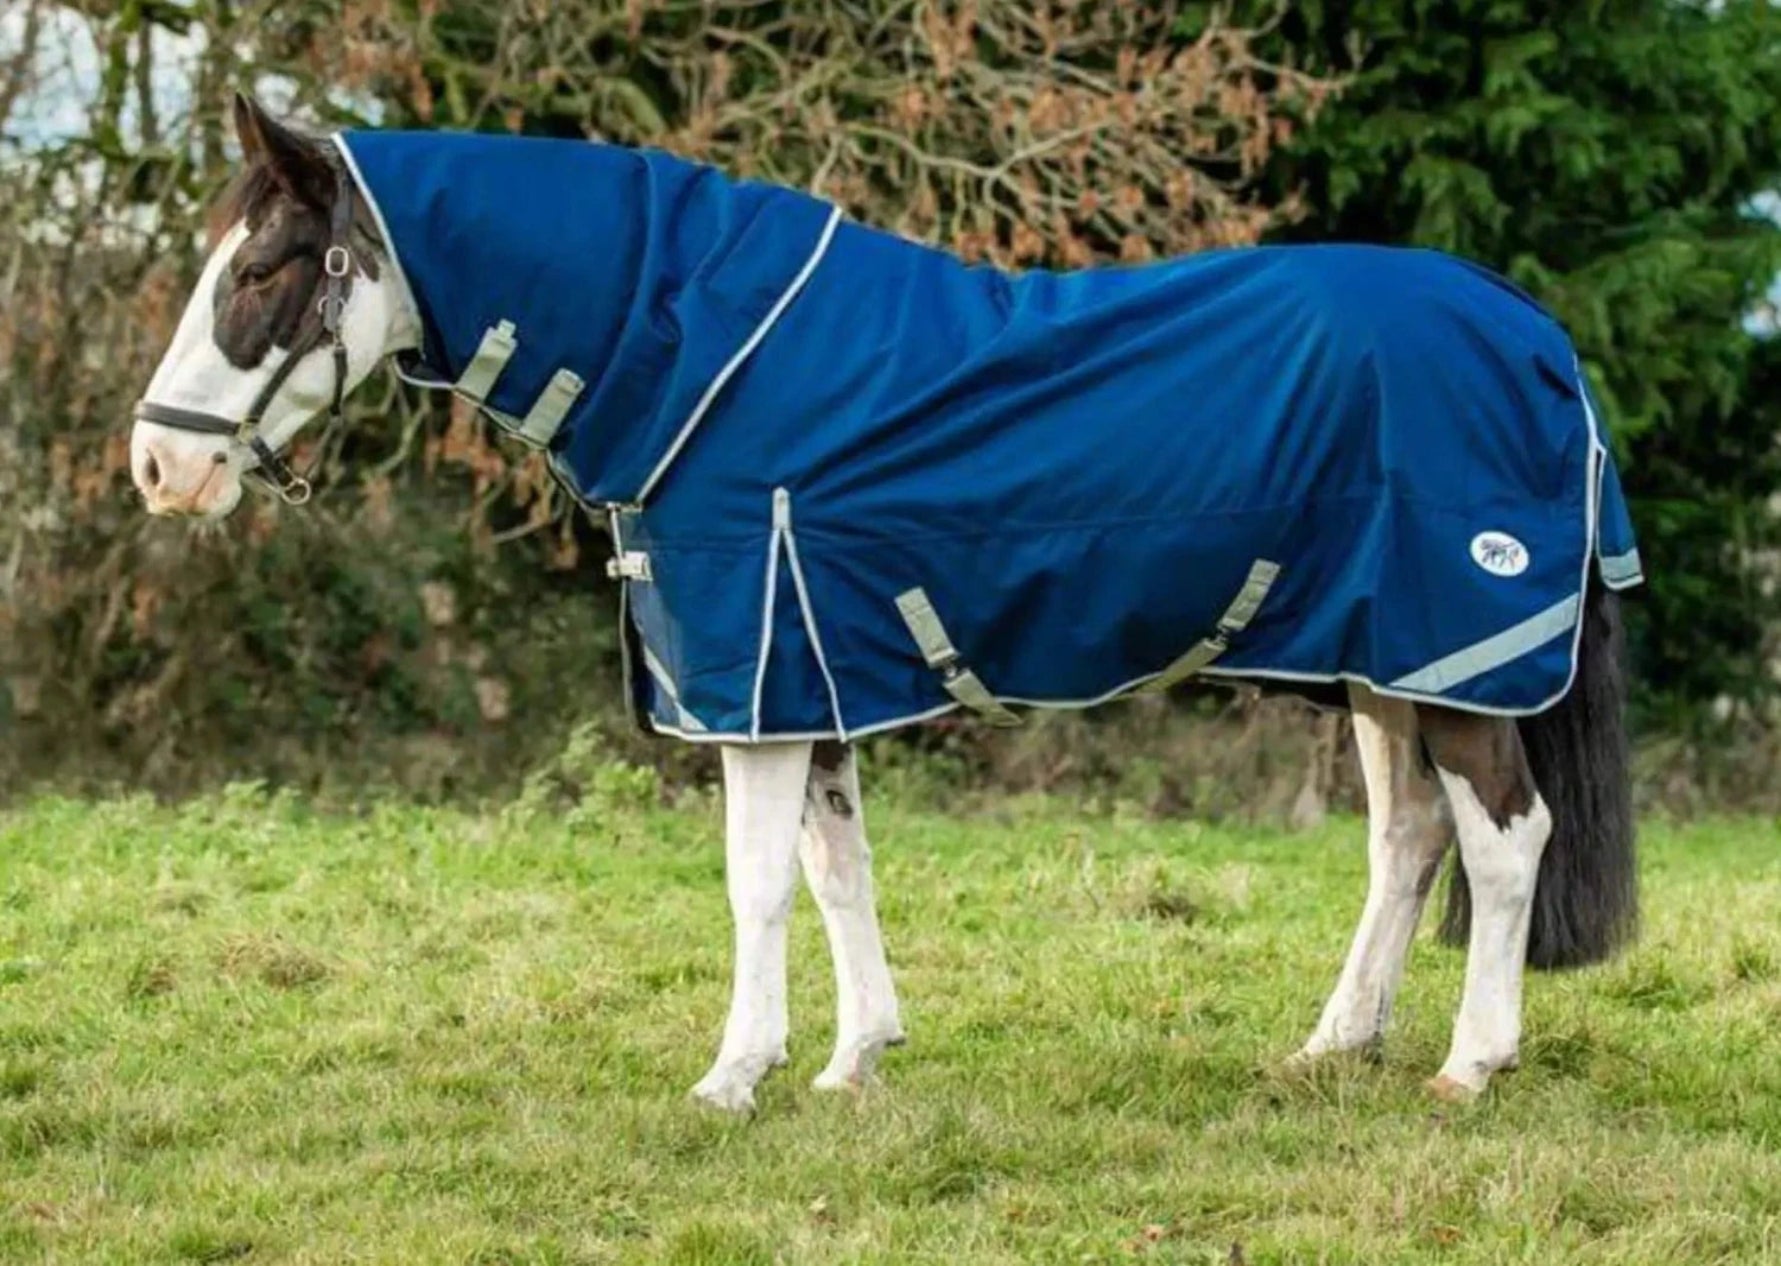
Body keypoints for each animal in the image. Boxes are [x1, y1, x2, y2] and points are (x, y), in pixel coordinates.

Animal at [131, 94, 1640, 1112]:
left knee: (1505, 837)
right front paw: (856, 1059)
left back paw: (1469, 1063)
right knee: (1408, 842)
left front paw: (734, 1075)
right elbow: (834, 868)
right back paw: (1334, 1044)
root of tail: (1532, 331)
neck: (703, 359)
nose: (160, 464)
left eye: (260, 271)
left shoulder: (754, 684)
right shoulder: (807, 674)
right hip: (1388, 669)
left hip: (1453, 656)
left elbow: (753, 881)